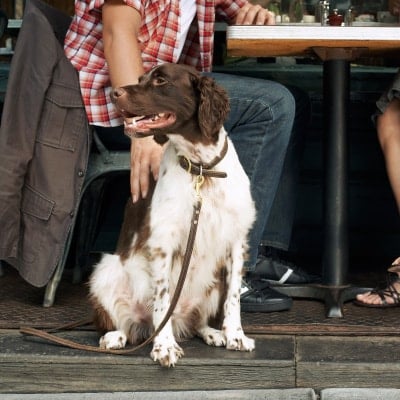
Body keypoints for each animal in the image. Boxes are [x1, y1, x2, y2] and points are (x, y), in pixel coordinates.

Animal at [89, 64, 255, 368]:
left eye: (160, 80)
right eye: (140, 78)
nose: (113, 92)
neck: (201, 168)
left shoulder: (237, 241)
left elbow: (234, 297)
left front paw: (235, 335)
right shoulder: (162, 243)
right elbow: (163, 299)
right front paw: (164, 346)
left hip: (213, 284)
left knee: (196, 322)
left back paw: (213, 332)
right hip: (106, 270)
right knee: (122, 323)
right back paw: (115, 337)